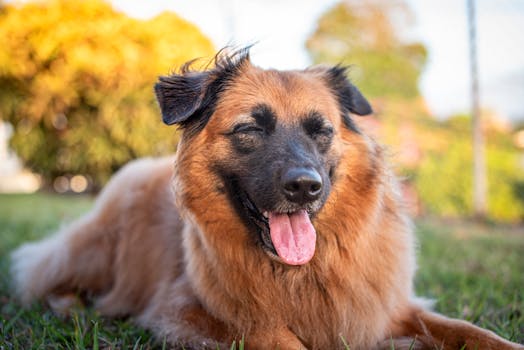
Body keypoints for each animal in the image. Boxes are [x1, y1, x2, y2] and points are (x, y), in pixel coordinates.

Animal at [10, 49, 520, 350]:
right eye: (250, 129)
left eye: (320, 131)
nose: (306, 187)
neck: (304, 272)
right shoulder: (188, 312)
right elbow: (282, 340)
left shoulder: (389, 310)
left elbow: (472, 332)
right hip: (93, 254)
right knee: (41, 275)